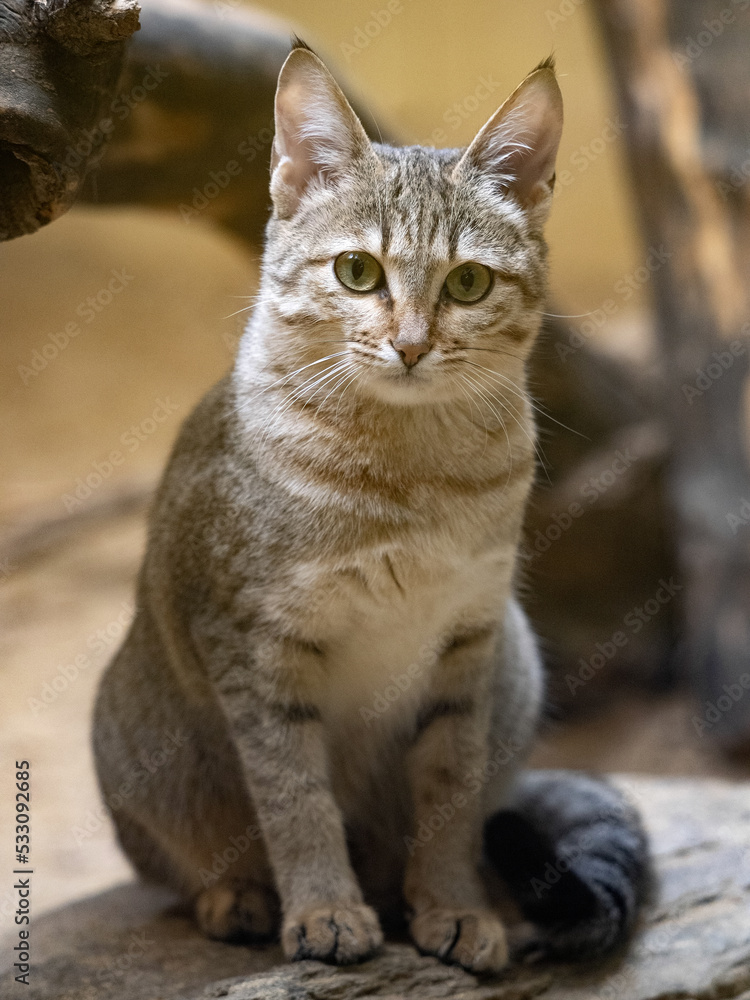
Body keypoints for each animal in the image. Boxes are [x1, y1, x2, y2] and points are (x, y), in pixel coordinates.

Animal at [91, 39, 648, 968]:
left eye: (468, 283)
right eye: (357, 272)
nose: (411, 345)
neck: (405, 477)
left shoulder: (468, 642)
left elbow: (451, 799)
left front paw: (453, 905)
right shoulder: (255, 648)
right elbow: (296, 798)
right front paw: (323, 909)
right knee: (189, 860)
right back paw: (238, 896)